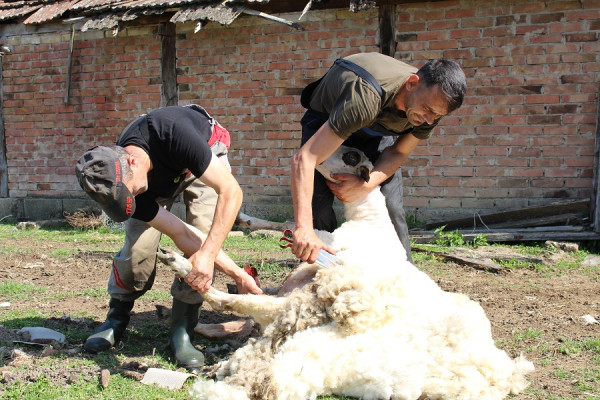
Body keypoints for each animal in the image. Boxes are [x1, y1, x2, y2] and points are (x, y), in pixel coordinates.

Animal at [157, 146, 532, 400]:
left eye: (350, 156)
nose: (310, 154)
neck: (372, 221)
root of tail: (500, 374)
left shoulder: (325, 252)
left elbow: (293, 230)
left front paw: (247, 221)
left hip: (306, 308)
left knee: (240, 303)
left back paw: (182, 264)